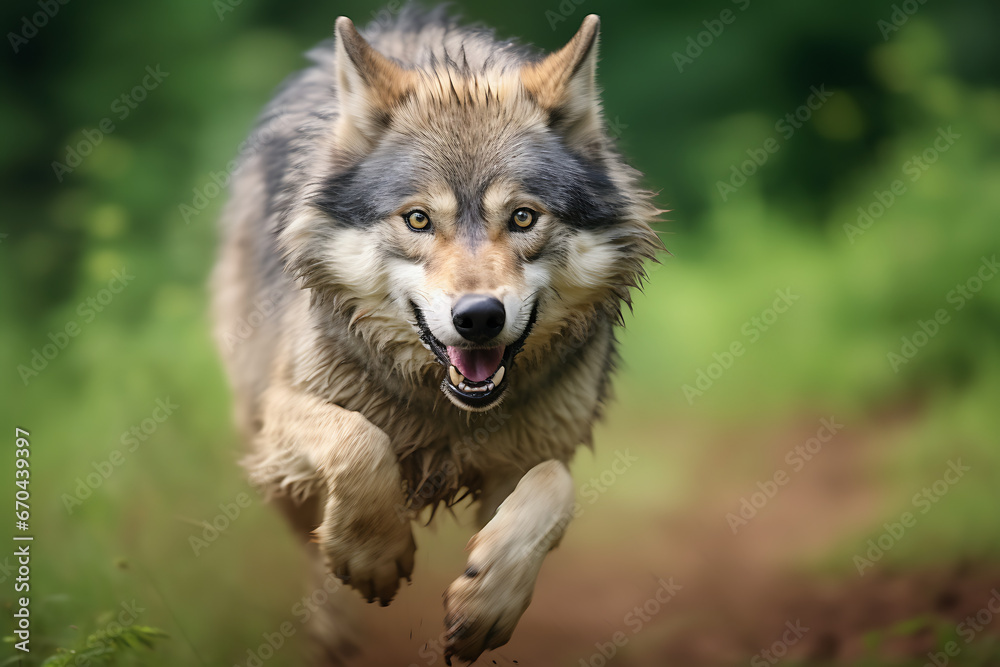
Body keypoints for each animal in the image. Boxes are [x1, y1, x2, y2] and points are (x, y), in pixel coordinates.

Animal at [211, 5, 661, 664]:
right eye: (419, 219)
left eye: (522, 217)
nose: (479, 317)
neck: (449, 414)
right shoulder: (288, 410)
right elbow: (360, 440)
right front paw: (370, 556)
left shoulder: (532, 455)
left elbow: (553, 490)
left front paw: (486, 603)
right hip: (265, 446)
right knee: (312, 532)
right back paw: (335, 625)